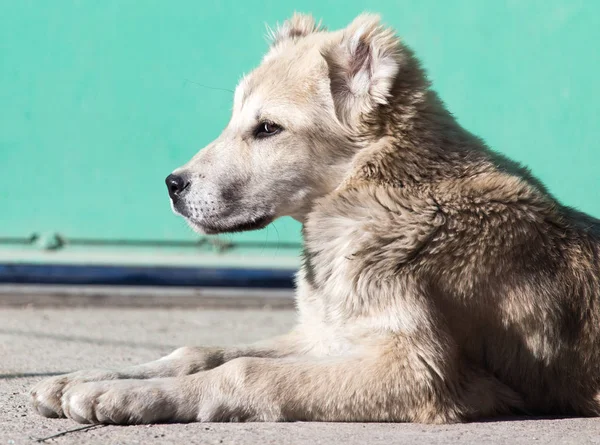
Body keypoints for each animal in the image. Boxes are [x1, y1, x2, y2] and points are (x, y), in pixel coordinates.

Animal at [30, 13, 600, 424]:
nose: (172, 185)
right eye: (236, 118)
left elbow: (244, 371)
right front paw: (93, 378)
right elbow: (202, 350)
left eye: (267, 128)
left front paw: (127, 397)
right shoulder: (324, 335)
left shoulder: (423, 371)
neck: (375, 196)